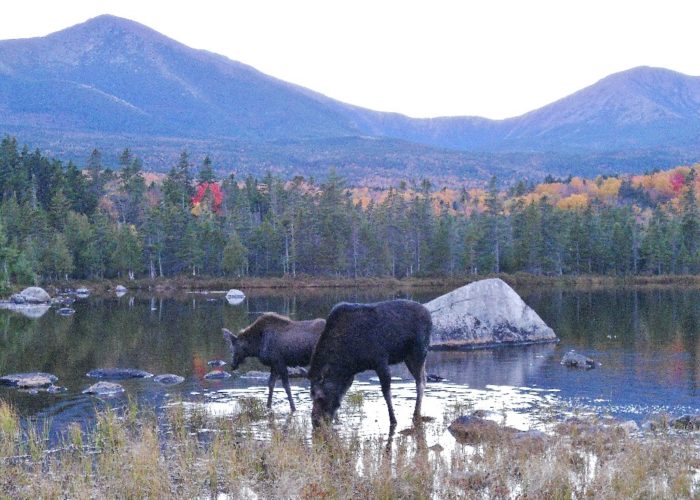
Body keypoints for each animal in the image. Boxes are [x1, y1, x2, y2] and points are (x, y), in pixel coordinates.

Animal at [310, 298, 432, 428]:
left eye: (320, 397)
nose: (315, 421)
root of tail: (428, 314)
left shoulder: (381, 361)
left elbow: (386, 393)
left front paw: (393, 420)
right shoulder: (349, 376)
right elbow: (342, 394)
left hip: (419, 351)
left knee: (420, 382)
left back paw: (416, 414)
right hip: (408, 357)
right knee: (424, 377)